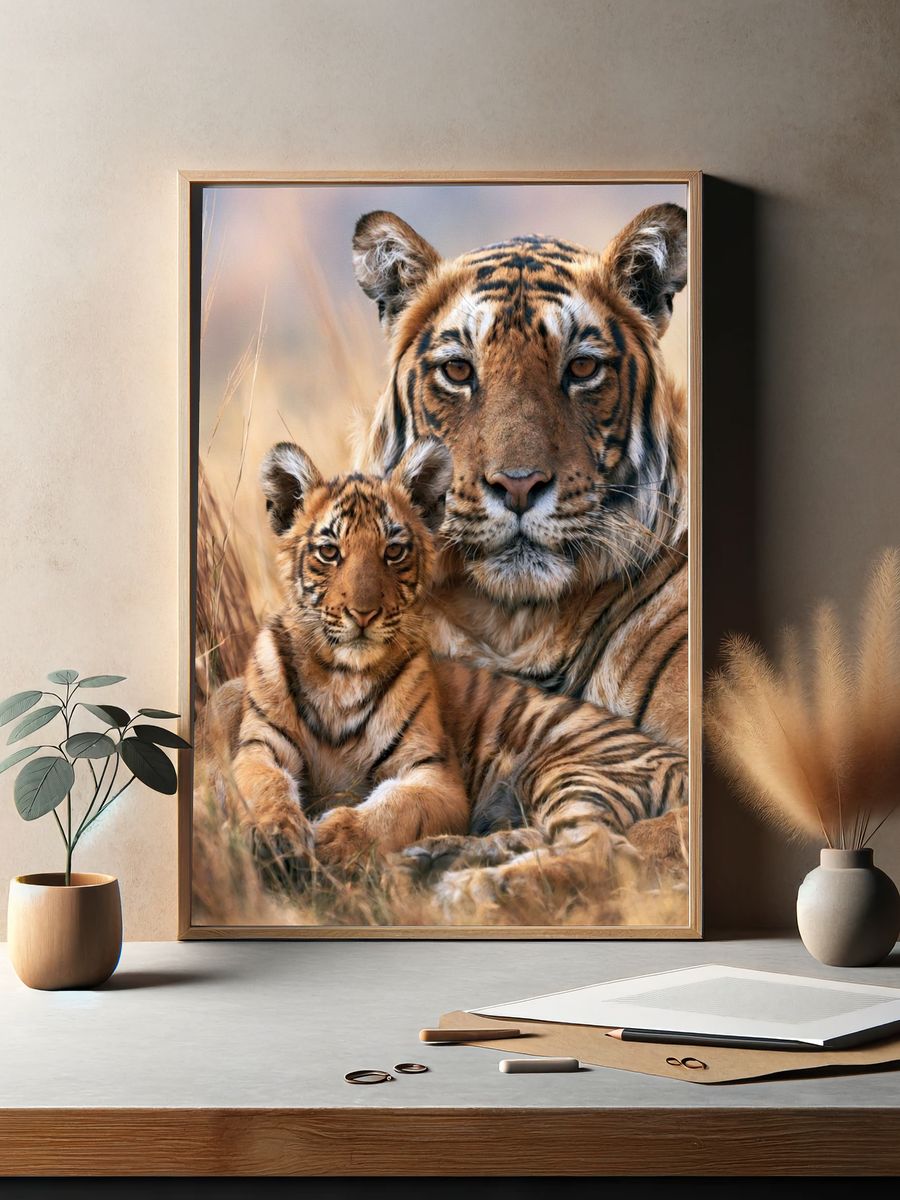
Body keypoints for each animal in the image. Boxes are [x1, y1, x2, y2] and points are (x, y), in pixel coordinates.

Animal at [218, 436, 687, 905]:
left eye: (394, 551)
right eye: (329, 552)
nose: (364, 614)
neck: (341, 675)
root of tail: (681, 762)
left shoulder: (433, 774)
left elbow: (392, 811)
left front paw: (333, 839)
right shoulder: (260, 746)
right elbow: (264, 789)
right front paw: (275, 838)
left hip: (571, 771)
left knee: (605, 851)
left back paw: (473, 887)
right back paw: (434, 860)